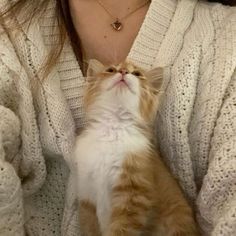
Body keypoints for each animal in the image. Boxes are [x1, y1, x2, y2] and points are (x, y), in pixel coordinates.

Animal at [73, 59, 199, 236]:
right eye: (111, 70)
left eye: (137, 74)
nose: (124, 72)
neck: (114, 128)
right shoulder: (87, 194)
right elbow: (90, 228)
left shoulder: (134, 195)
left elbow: (121, 230)